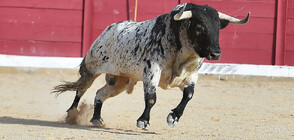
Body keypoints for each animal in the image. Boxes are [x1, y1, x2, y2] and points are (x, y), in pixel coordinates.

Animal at [52, 3, 248, 130]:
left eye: (218, 27)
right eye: (199, 27)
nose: (216, 54)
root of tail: (108, 30)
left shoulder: (192, 75)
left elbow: (189, 95)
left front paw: (173, 118)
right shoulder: (152, 71)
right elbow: (151, 98)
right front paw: (143, 121)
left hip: (121, 81)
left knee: (100, 94)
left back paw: (97, 119)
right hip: (93, 67)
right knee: (81, 89)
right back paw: (71, 113)